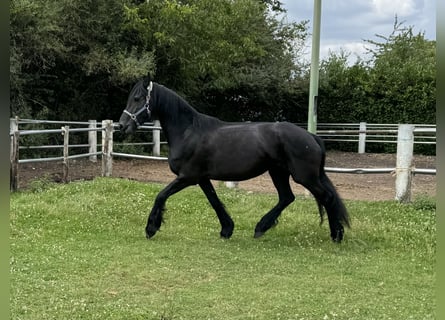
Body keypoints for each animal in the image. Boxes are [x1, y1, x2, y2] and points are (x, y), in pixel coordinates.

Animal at [119, 74, 348, 242]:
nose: (122, 125)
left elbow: (161, 195)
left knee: (327, 197)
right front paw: (227, 229)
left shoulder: (187, 177)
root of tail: (311, 136)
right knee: (287, 197)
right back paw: (260, 228)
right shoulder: (202, 178)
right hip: (278, 172)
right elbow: (215, 201)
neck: (188, 131)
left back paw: (336, 235)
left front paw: (151, 228)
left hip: (304, 177)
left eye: (137, 99)